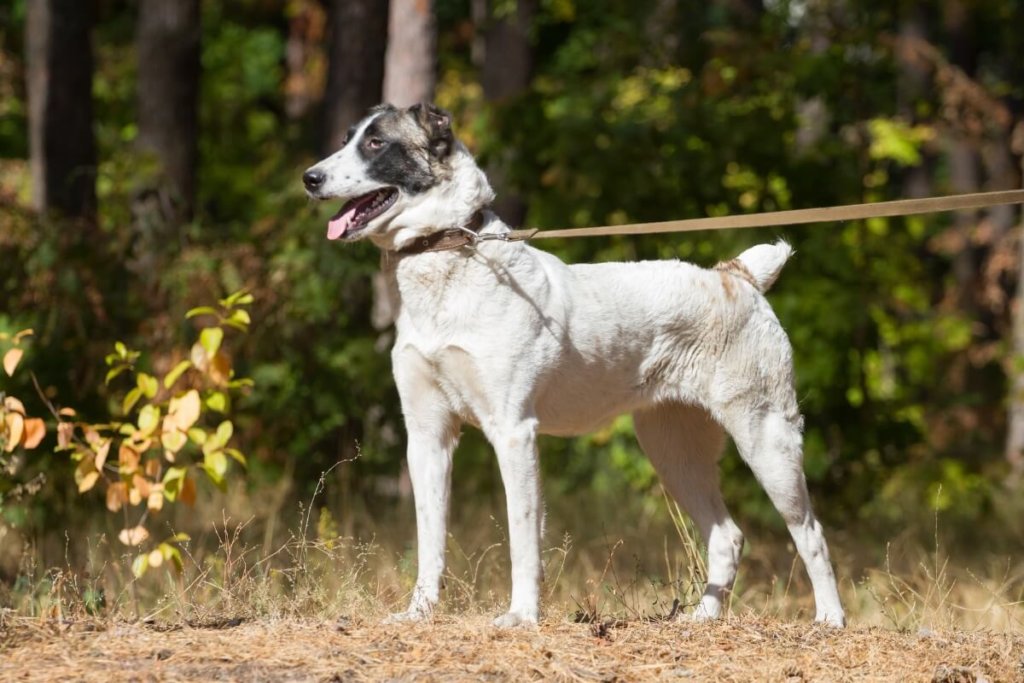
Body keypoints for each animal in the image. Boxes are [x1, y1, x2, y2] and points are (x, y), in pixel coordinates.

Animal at [303, 101, 847, 630]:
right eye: (347, 138)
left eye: (377, 143)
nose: (309, 177)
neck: (450, 254)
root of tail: (737, 276)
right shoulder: (427, 436)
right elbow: (429, 536)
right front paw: (419, 612)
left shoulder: (514, 432)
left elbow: (523, 535)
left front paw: (522, 616)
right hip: (673, 451)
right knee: (727, 535)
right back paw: (702, 620)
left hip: (766, 439)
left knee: (811, 532)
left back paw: (830, 618)